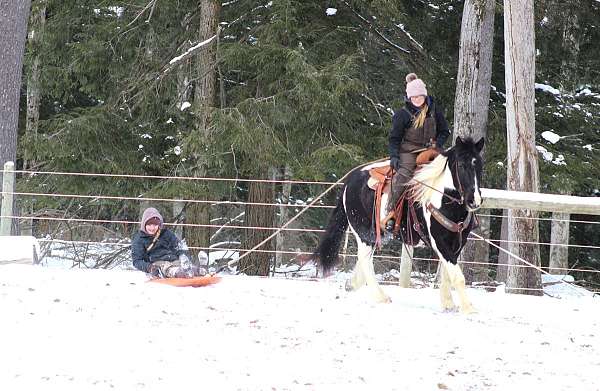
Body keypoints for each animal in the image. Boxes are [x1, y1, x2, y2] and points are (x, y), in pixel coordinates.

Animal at [314, 136, 482, 314]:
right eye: (462, 165)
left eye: (479, 164)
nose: (474, 200)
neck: (443, 199)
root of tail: (350, 180)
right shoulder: (439, 242)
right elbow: (457, 276)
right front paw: (469, 308)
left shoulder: (457, 243)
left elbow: (447, 274)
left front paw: (448, 304)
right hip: (363, 232)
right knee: (365, 260)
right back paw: (381, 296)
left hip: (375, 235)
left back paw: (352, 285)